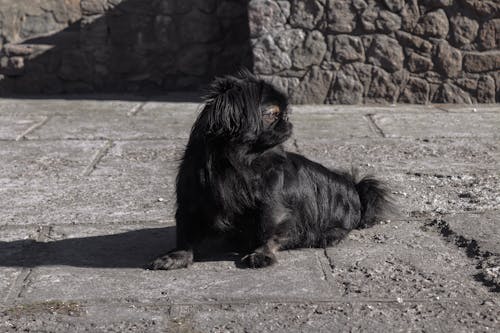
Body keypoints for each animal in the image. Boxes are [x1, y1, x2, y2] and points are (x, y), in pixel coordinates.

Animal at [148, 71, 390, 268]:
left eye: (284, 113)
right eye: (273, 114)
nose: (288, 120)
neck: (239, 162)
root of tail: (355, 189)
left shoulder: (271, 204)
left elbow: (268, 229)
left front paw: (261, 254)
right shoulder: (192, 199)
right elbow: (185, 233)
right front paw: (176, 256)